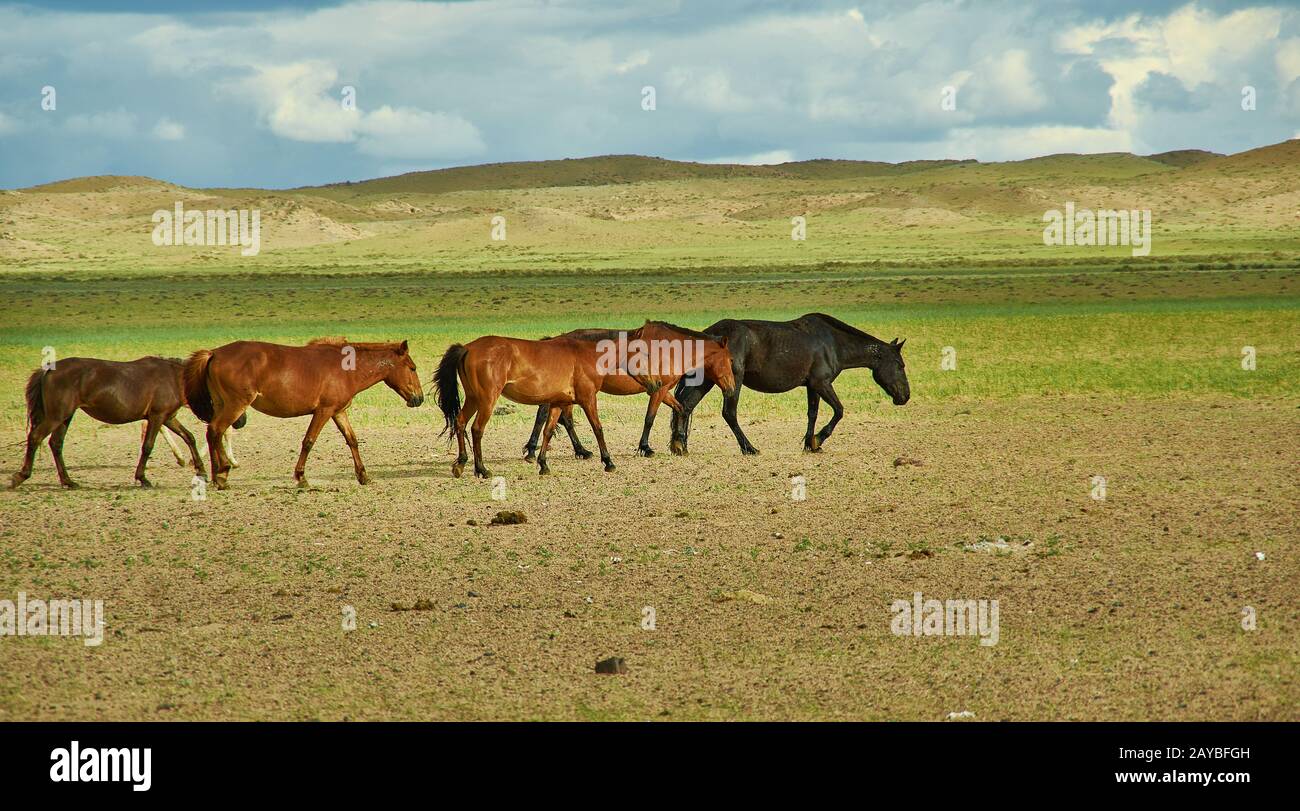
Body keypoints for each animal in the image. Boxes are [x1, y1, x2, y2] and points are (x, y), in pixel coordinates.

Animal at [8, 356, 232, 488]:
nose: (238, 420)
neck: (173, 377)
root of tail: (48, 370)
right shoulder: (157, 416)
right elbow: (148, 446)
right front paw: (142, 478)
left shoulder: (168, 417)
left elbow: (189, 437)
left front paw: (201, 470)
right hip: (56, 416)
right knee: (35, 437)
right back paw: (21, 476)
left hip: (65, 417)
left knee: (56, 444)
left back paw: (68, 481)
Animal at [183, 335, 423, 488]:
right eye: (412, 368)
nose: (419, 398)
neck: (346, 368)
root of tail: (214, 353)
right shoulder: (323, 411)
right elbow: (309, 441)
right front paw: (301, 478)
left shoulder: (338, 412)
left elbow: (352, 440)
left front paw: (363, 476)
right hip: (235, 405)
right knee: (216, 430)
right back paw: (222, 473)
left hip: (223, 405)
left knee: (213, 433)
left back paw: (216, 474)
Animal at [522, 323, 738, 462]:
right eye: (730, 360)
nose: (731, 388)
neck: (671, 349)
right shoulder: (658, 391)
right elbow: (649, 418)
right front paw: (646, 448)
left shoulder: (662, 389)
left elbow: (681, 409)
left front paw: (679, 444)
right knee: (548, 415)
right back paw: (535, 451)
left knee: (563, 419)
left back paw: (580, 451)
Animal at [676, 313, 909, 457]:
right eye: (900, 365)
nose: (905, 396)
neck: (833, 343)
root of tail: (708, 334)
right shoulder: (822, 383)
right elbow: (839, 411)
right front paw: (818, 440)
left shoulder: (812, 387)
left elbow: (812, 414)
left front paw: (809, 444)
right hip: (733, 381)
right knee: (729, 413)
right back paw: (749, 448)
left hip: (705, 382)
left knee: (686, 406)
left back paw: (680, 446)